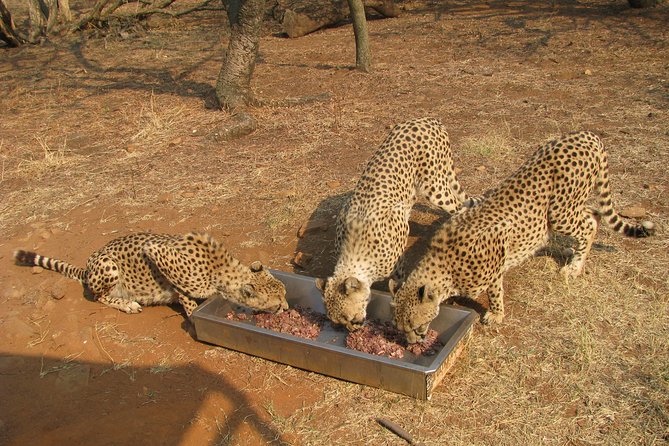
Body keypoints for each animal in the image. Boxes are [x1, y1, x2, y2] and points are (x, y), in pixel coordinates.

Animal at [14, 232, 289, 317]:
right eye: (276, 303)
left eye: (285, 294)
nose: (286, 308)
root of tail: (88, 264)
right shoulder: (158, 252)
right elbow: (184, 294)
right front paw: (191, 314)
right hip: (108, 266)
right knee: (97, 296)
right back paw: (126, 304)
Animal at [315, 117, 478, 331]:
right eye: (337, 321)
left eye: (350, 318)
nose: (353, 329)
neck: (356, 248)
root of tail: (427, 119)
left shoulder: (400, 231)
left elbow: (398, 274)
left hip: (435, 188)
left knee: (459, 206)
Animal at [389, 131, 655, 343]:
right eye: (400, 327)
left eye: (416, 326)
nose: (412, 343)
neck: (444, 265)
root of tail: (587, 135)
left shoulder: (496, 253)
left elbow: (495, 291)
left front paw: (496, 314)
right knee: (594, 214)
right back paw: (571, 253)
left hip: (559, 212)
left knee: (589, 223)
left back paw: (575, 267)